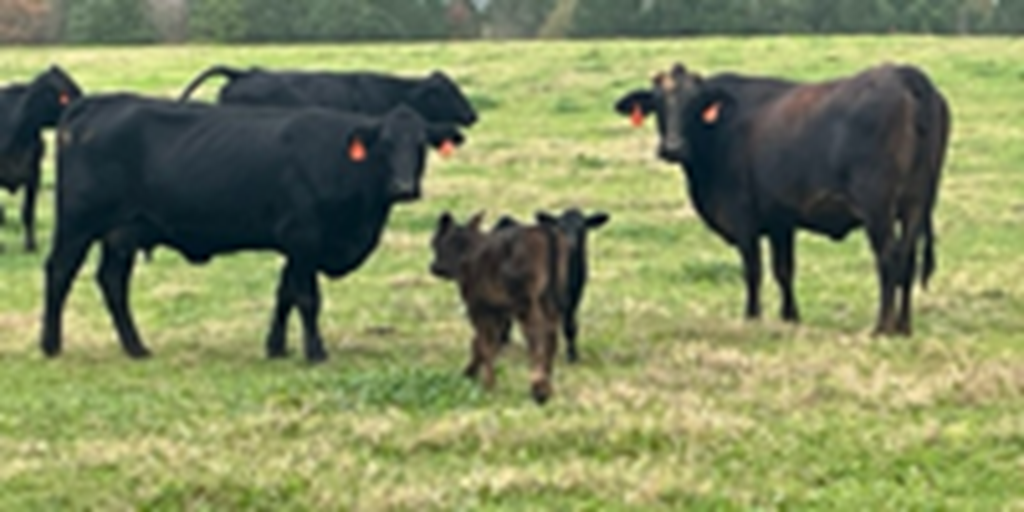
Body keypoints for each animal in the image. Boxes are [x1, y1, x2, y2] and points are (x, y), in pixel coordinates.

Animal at [41, 96, 464, 362]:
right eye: (385, 144)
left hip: (122, 234)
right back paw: (50, 344)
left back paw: (136, 347)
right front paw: (315, 352)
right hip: (77, 224)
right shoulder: (304, 238)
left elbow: (284, 294)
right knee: (59, 272)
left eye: (421, 145)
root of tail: (98, 103)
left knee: (112, 281)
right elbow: (307, 298)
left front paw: (276, 347)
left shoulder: (296, 247)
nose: (404, 187)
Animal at [429, 211, 568, 404]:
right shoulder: (499, 310)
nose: (435, 268)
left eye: (436, 242)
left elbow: (484, 343)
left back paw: (538, 389)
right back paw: (547, 385)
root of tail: (546, 232)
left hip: (525, 301)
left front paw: (487, 384)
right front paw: (470, 373)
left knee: (536, 335)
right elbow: (483, 342)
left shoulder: (478, 307)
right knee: (551, 334)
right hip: (550, 299)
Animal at [492, 208, 610, 363]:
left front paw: (572, 356)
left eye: (582, 228)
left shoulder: (575, 296)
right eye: (560, 228)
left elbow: (570, 326)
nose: (569, 243)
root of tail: (507, 220)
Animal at [614, 62, 949, 336]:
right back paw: (904, 326)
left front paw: (752, 317)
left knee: (888, 257)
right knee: (908, 258)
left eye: (695, 104)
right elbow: (784, 270)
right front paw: (791, 317)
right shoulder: (780, 220)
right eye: (658, 103)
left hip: (878, 206)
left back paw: (882, 326)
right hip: (916, 204)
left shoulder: (743, 218)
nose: (673, 147)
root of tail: (904, 74)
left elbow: (753, 270)